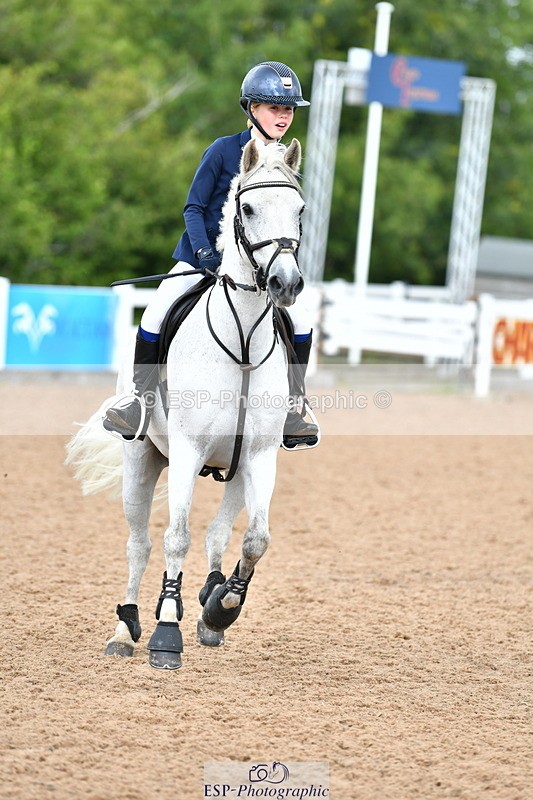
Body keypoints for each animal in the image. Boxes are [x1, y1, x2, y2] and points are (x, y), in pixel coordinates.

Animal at [66, 137, 306, 670]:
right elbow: (176, 537)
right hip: (143, 459)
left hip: (234, 468)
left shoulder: (259, 455)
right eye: (247, 207)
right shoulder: (188, 449)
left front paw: (222, 607)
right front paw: (166, 632)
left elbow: (255, 540)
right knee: (140, 544)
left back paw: (211, 602)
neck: (241, 340)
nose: (285, 284)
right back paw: (126, 628)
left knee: (218, 534)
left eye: (300, 210)